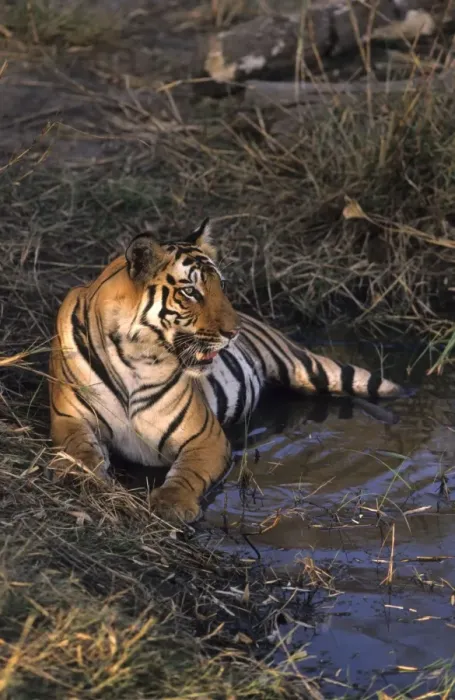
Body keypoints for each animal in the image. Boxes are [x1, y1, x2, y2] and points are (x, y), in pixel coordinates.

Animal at [49, 219, 403, 523]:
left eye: (221, 286)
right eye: (190, 292)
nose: (234, 332)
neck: (133, 358)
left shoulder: (205, 437)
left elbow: (187, 474)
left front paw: (172, 505)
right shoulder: (70, 418)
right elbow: (80, 451)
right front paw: (83, 478)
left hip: (310, 369)